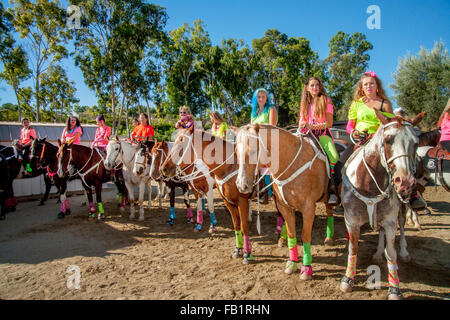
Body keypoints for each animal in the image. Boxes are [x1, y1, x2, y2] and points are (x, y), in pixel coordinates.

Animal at [234, 124, 336, 278]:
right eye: (235, 152)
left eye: (252, 151)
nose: (241, 185)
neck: (291, 161)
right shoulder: (284, 207)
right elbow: (291, 234)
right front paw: (292, 263)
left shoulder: (308, 208)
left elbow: (305, 236)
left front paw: (306, 268)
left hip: (327, 197)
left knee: (330, 212)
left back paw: (329, 238)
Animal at [340, 110, 424, 300]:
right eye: (388, 139)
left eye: (415, 143)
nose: (405, 182)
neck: (368, 183)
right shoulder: (351, 220)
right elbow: (353, 248)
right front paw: (348, 280)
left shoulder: (390, 222)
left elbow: (391, 254)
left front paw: (394, 289)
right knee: (380, 232)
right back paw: (378, 253)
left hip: (400, 209)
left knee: (401, 226)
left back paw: (404, 252)